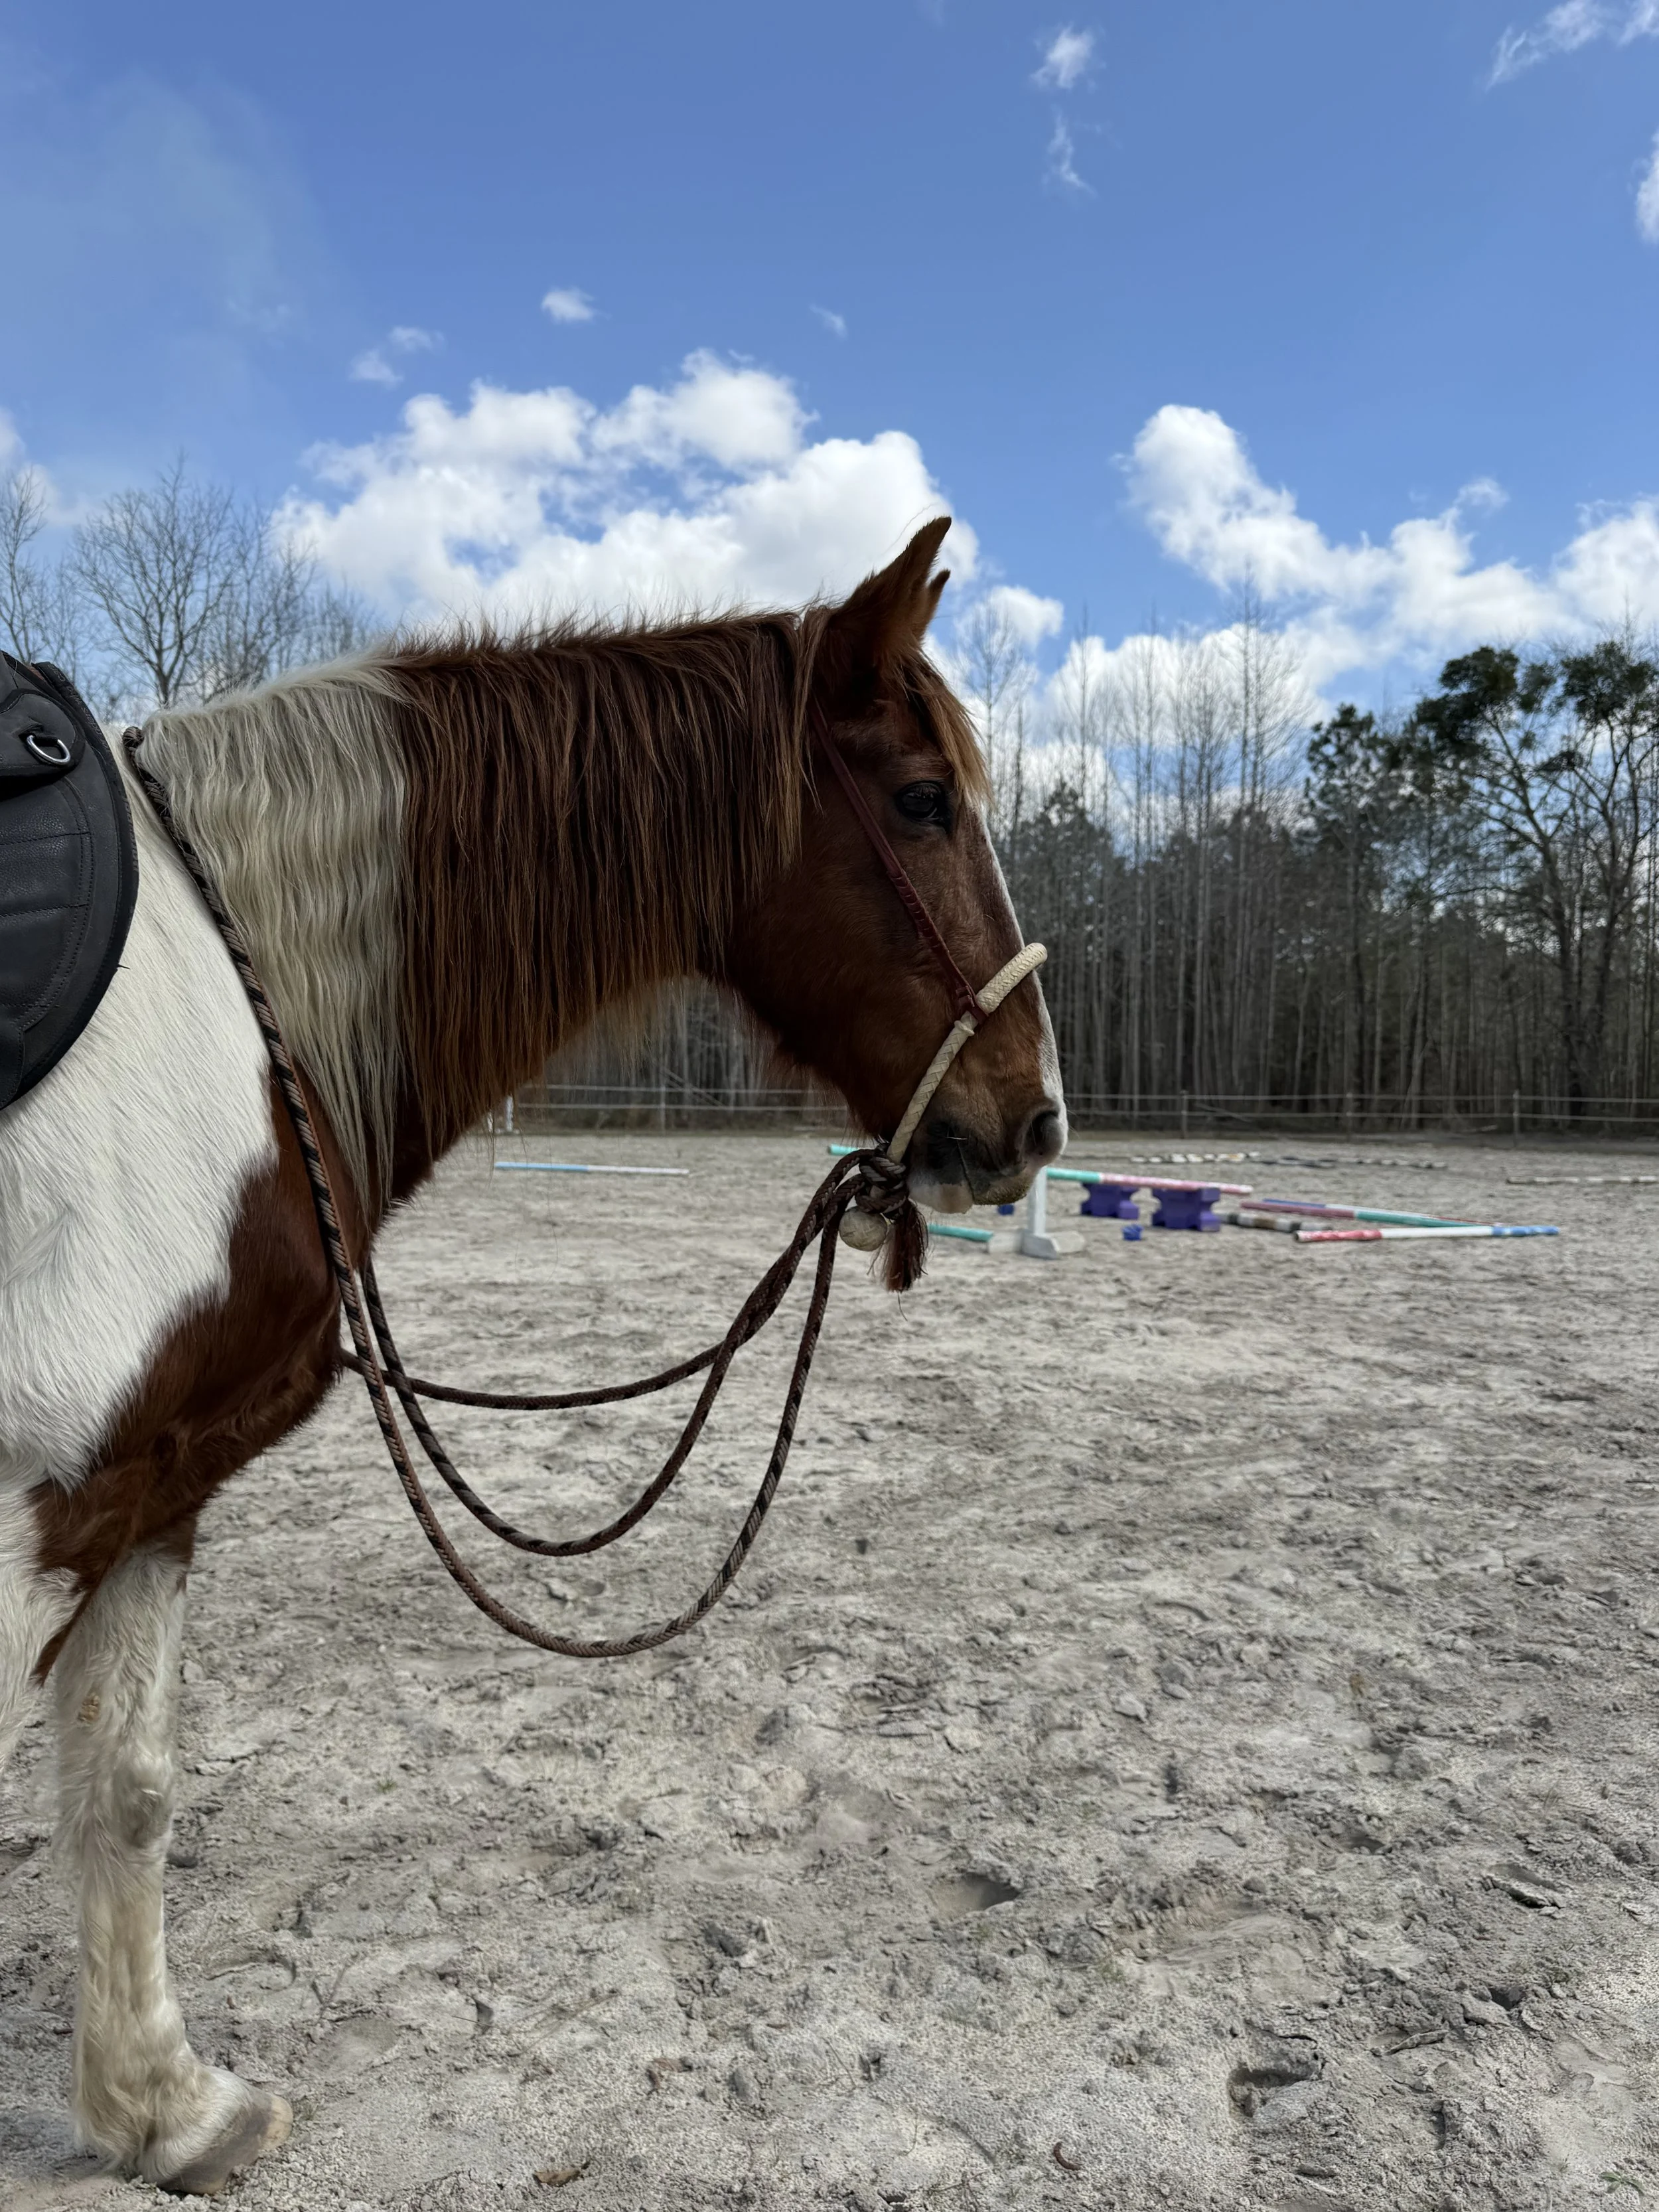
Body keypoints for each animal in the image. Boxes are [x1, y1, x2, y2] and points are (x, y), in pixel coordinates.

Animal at [0, 518, 1064, 2194]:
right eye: (920, 799)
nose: (1033, 1120)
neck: (220, 1004)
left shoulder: (138, 1483)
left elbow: (128, 1789)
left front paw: (166, 2110)